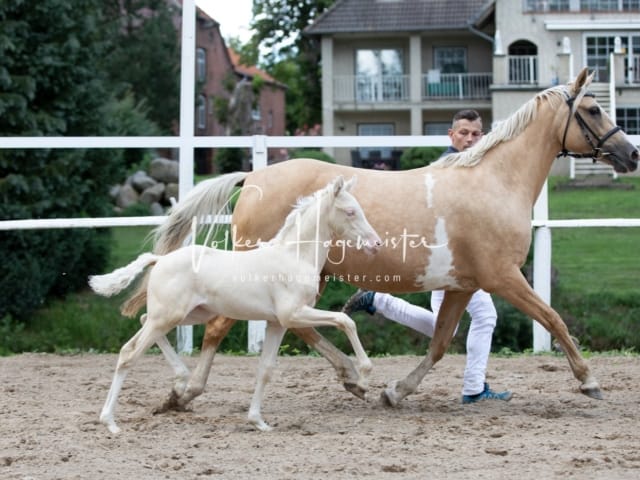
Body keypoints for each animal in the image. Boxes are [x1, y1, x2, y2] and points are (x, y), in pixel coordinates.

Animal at [90, 175, 380, 432]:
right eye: (351, 211)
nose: (376, 243)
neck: (294, 257)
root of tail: (159, 260)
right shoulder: (294, 314)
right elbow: (345, 320)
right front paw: (364, 379)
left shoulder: (277, 323)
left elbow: (266, 369)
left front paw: (258, 422)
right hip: (168, 317)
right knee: (129, 354)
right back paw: (110, 422)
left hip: (187, 314)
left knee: (138, 326)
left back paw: (180, 379)